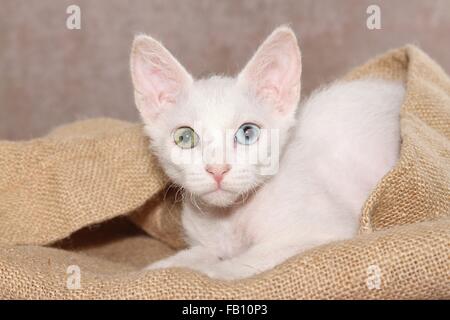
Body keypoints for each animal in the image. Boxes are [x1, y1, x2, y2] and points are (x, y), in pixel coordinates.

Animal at [129, 26, 404, 278]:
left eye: (247, 133)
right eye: (185, 138)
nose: (217, 169)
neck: (228, 219)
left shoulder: (329, 231)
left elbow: (237, 264)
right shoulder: (206, 242)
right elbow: (200, 254)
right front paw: (157, 270)